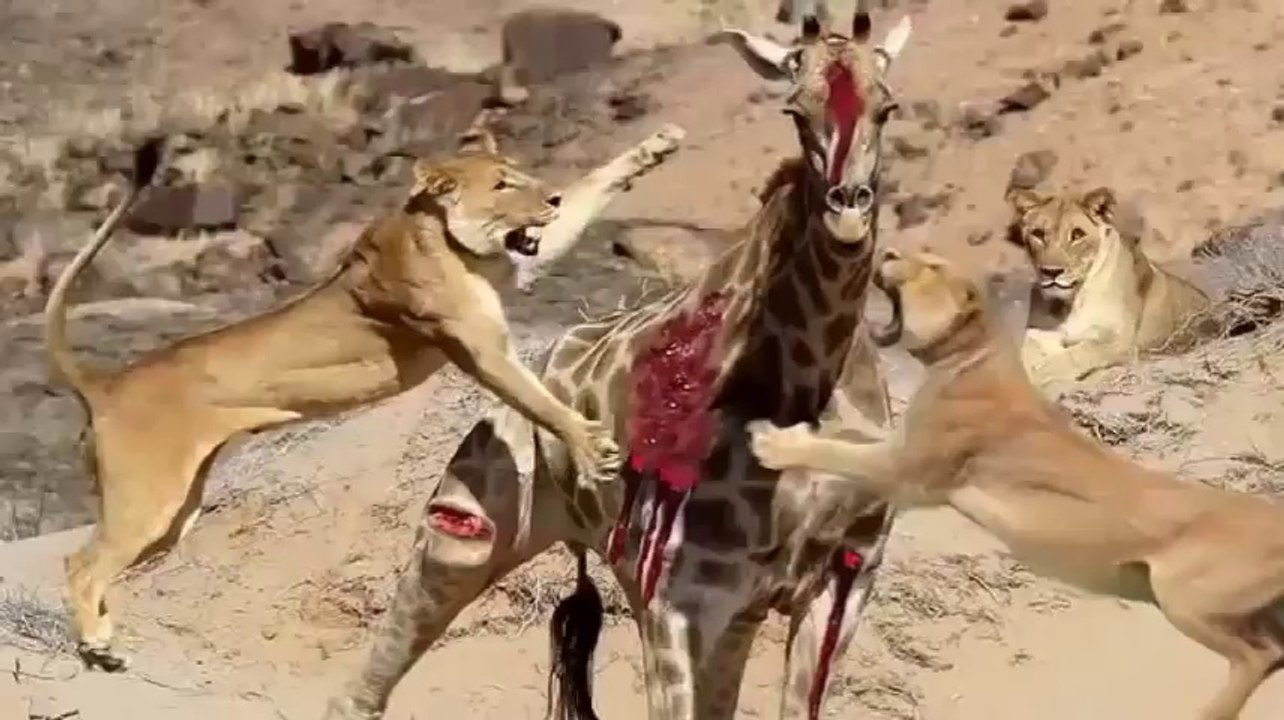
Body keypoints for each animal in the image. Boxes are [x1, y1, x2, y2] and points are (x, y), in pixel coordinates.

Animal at [46, 121, 684, 673]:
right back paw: (98, 644)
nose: (546, 198)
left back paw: (102, 646)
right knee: (80, 564)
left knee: (102, 566)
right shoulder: (480, 351)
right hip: (149, 499)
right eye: (503, 184)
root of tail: (104, 385)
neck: (449, 239)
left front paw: (653, 148)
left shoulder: (515, 273)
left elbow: (589, 188)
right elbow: (542, 404)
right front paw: (592, 445)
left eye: (523, 174)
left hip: (174, 517)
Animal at [325, 7, 913, 720]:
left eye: (888, 106)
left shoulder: (841, 582)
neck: (807, 383)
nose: (848, 213)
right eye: (795, 111)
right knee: (366, 684)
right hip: (464, 534)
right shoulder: (674, 592)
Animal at [749, 247, 1284, 720]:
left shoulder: (909, 470)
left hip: (1184, 596)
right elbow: (852, 437)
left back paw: (1210, 713)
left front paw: (773, 443)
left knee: (1257, 654)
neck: (969, 354)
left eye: (932, 265)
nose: (889, 254)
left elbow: (842, 452)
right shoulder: (901, 449)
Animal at [1003, 185, 1216, 386]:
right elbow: (1027, 359)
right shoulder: (1037, 338)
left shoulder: (1119, 341)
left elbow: (1079, 353)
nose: (1051, 272)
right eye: (1038, 234)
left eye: (1077, 235)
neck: (1071, 302)